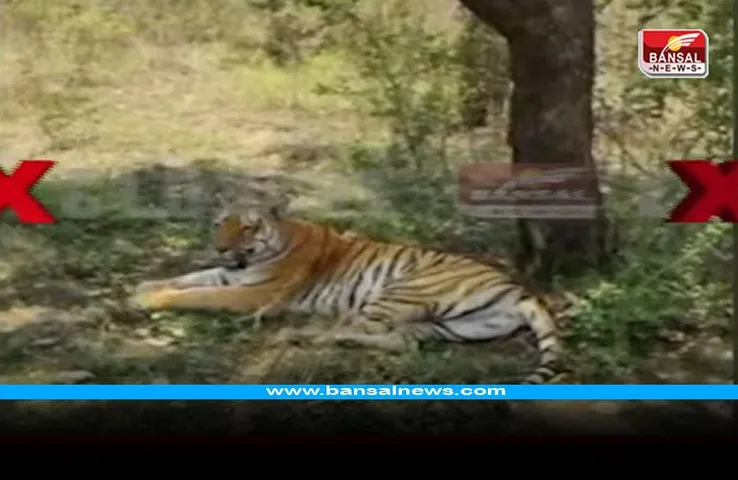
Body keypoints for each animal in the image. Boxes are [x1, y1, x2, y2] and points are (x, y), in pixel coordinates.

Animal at [130, 197, 568, 384]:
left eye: (248, 227)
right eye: (221, 222)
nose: (221, 247)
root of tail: (518, 289)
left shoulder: (256, 293)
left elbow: (195, 294)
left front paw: (146, 299)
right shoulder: (230, 275)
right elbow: (191, 278)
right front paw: (142, 287)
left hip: (401, 290)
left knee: (358, 327)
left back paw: (297, 334)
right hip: (447, 325)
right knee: (401, 342)